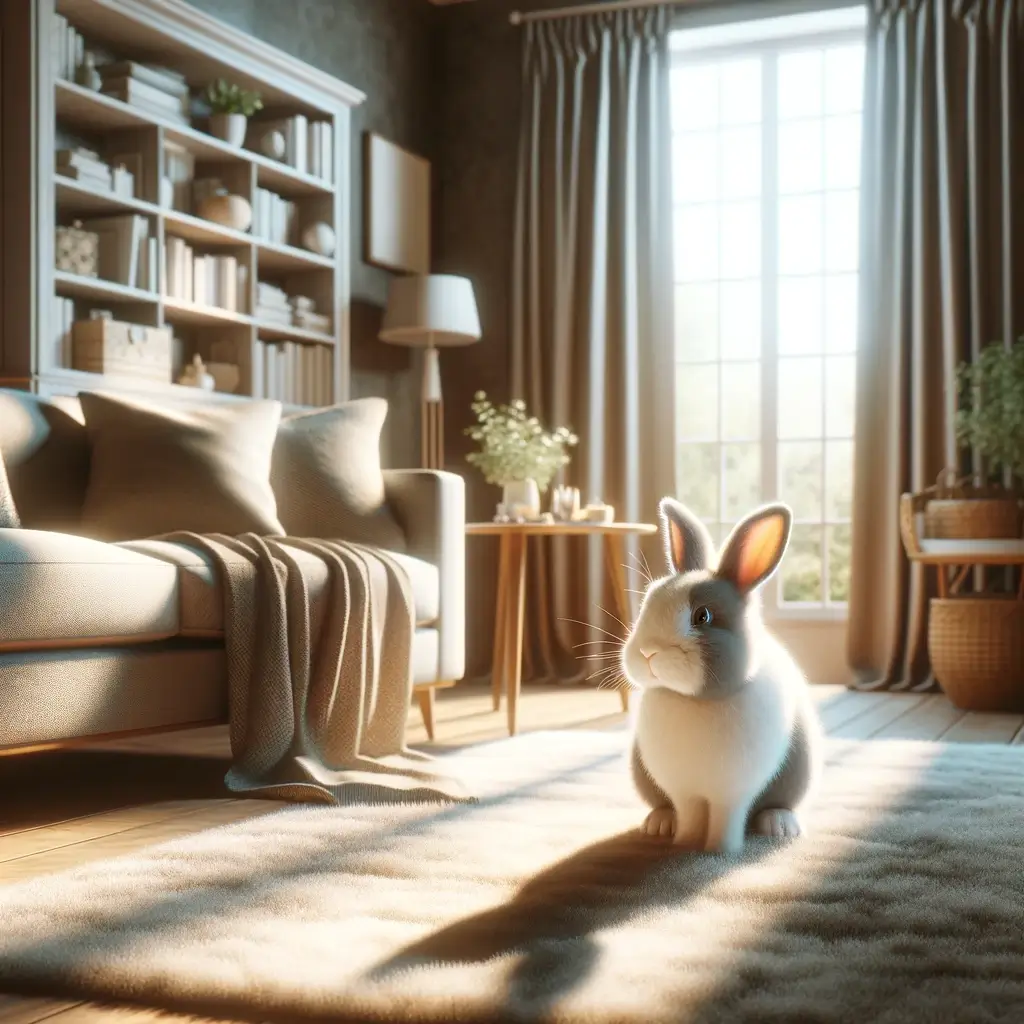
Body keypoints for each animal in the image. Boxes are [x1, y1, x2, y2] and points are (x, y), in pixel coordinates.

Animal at [622, 497, 823, 855]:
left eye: (702, 616)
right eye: (649, 598)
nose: (647, 652)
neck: (696, 701)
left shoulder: (732, 795)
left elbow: (726, 820)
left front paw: (720, 851)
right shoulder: (684, 791)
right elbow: (689, 815)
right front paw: (685, 846)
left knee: (780, 804)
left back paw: (780, 826)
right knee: (665, 806)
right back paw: (660, 823)